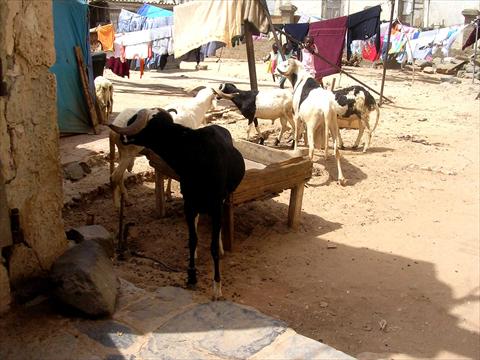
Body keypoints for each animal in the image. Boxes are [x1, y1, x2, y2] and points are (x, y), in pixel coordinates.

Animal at [109, 108, 244, 300]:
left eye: (134, 121)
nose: (122, 138)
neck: (196, 156)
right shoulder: (189, 204)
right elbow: (192, 240)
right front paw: (191, 276)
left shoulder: (216, 205)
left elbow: (212, 247)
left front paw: (217, 288)